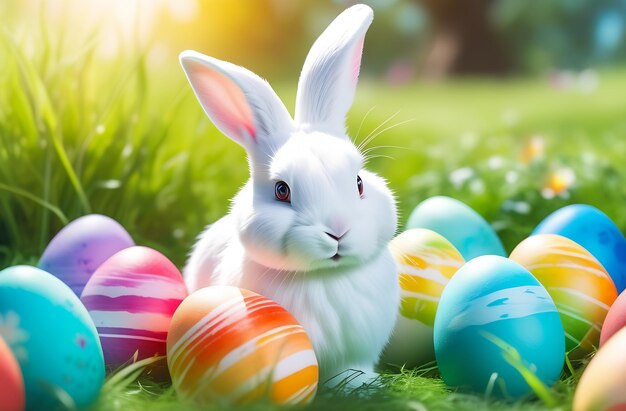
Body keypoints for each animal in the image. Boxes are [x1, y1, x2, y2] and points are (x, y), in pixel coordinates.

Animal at [179, 4, 394, 386]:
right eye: (282, 190)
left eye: (358, 183)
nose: (337, 231)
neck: (324, 277)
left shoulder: (356, 351)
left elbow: (351, 369)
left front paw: (363, 386)